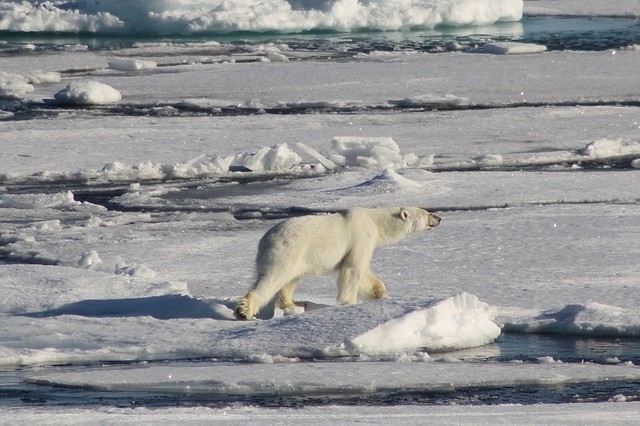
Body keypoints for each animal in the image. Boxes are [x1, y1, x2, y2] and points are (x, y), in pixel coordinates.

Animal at [234, 206, 440, 320]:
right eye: (426, 213)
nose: (438, 218)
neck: (374, 222)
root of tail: (265, 240)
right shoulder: (360, 238)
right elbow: (353, 270)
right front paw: (349, 303)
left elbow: (364, 273)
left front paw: (380, 293)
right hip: (288, 250)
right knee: (273, 277)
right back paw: (244, 310)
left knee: (290, 280)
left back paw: (291, 303)